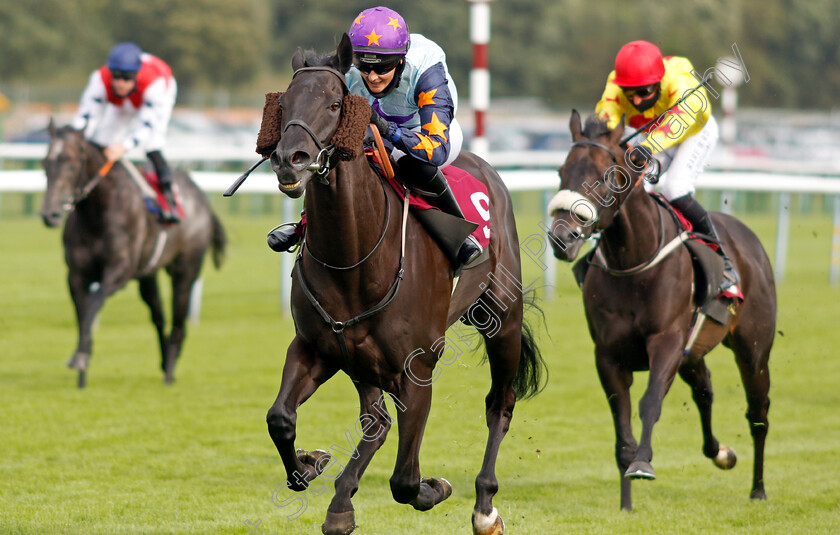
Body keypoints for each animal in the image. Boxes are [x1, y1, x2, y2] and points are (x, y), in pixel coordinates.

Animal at [548, 112, 776, 510]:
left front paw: (642, 463)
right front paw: (626, 502)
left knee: (758, 411)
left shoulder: (667, 341)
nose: (562, 238)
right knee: (705, 390)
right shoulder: (608, 355)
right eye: (562, 172)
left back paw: (758, 489)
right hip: (693, 352)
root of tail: (747, 238)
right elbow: (621, 422)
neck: (634, 263)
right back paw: (720, 452)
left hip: (753, 349)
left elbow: (650, 402)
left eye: (602, 176)